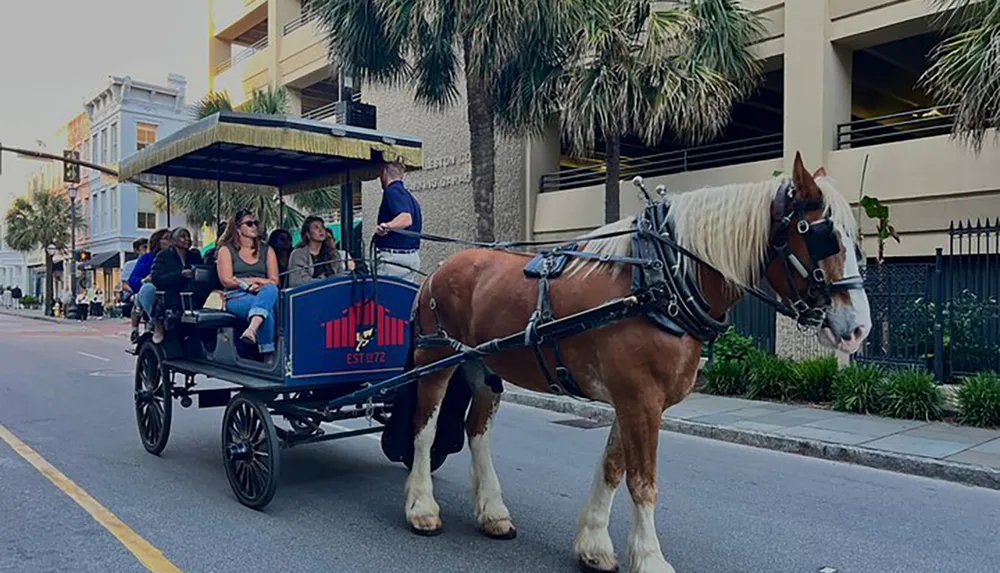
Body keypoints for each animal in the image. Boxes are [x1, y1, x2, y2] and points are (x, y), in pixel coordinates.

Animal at [398, 152, 868, 572]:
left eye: (856, 241)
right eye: (824, 235)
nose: (859, 328)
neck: (661, 281)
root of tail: (440, 270)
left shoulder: (633, 400)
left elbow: (612, 467)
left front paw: (593, 545)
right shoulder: (640, 400)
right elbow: (643, 482)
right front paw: (650, 558)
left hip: (484, 368)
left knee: (477, 431)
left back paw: (493, 511)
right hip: (435, 357)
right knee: (423, 428)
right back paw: (422, 506)